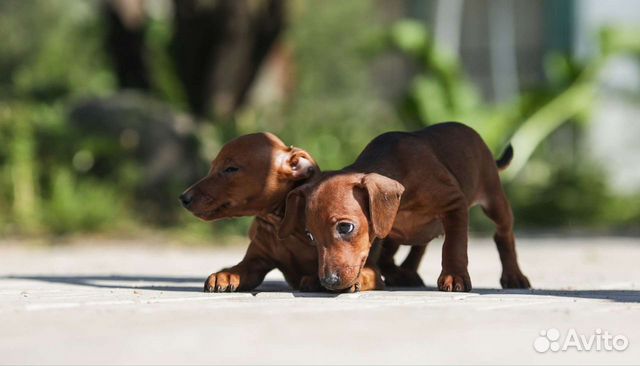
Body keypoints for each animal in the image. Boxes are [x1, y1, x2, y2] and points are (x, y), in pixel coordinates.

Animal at [178, 132, 382, 292]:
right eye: (212, 167)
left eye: (231, 169)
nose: (183, 198)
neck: (279, 222)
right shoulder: (256, 260)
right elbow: (241, 268)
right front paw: (226, 274)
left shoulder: (366, 266)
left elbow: (358, 271)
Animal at [280, 122, 528, 292]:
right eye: (310, 236)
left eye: (345, 228)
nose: (328, 281)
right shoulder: (379, 235)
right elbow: (377, 262)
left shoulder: (455, 203)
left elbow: (454, 245)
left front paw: (454, 276)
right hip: (398, 236)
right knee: (414, 249)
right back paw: (405, 273)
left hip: (494, 199)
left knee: (503, 234)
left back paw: (514, 276)